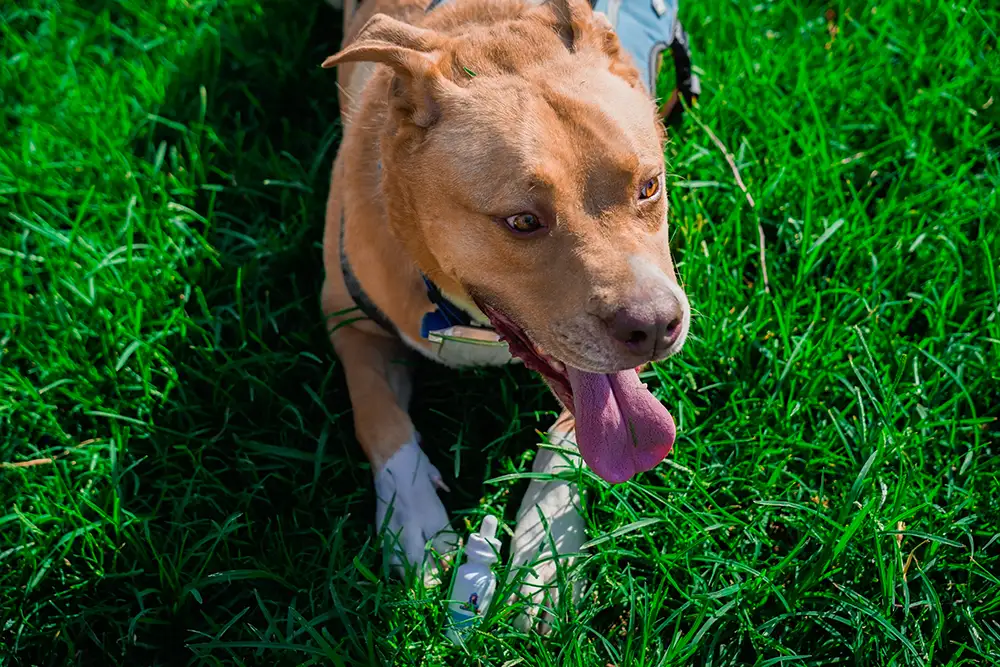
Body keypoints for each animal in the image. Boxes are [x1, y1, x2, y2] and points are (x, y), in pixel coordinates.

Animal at [324, 0, 692, 632]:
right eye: (522, 222)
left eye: (649, 187)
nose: (654, 328)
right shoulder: (349, 320)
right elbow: (378, 418)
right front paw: (417, 525)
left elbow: (567, 446)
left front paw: (545, 555)